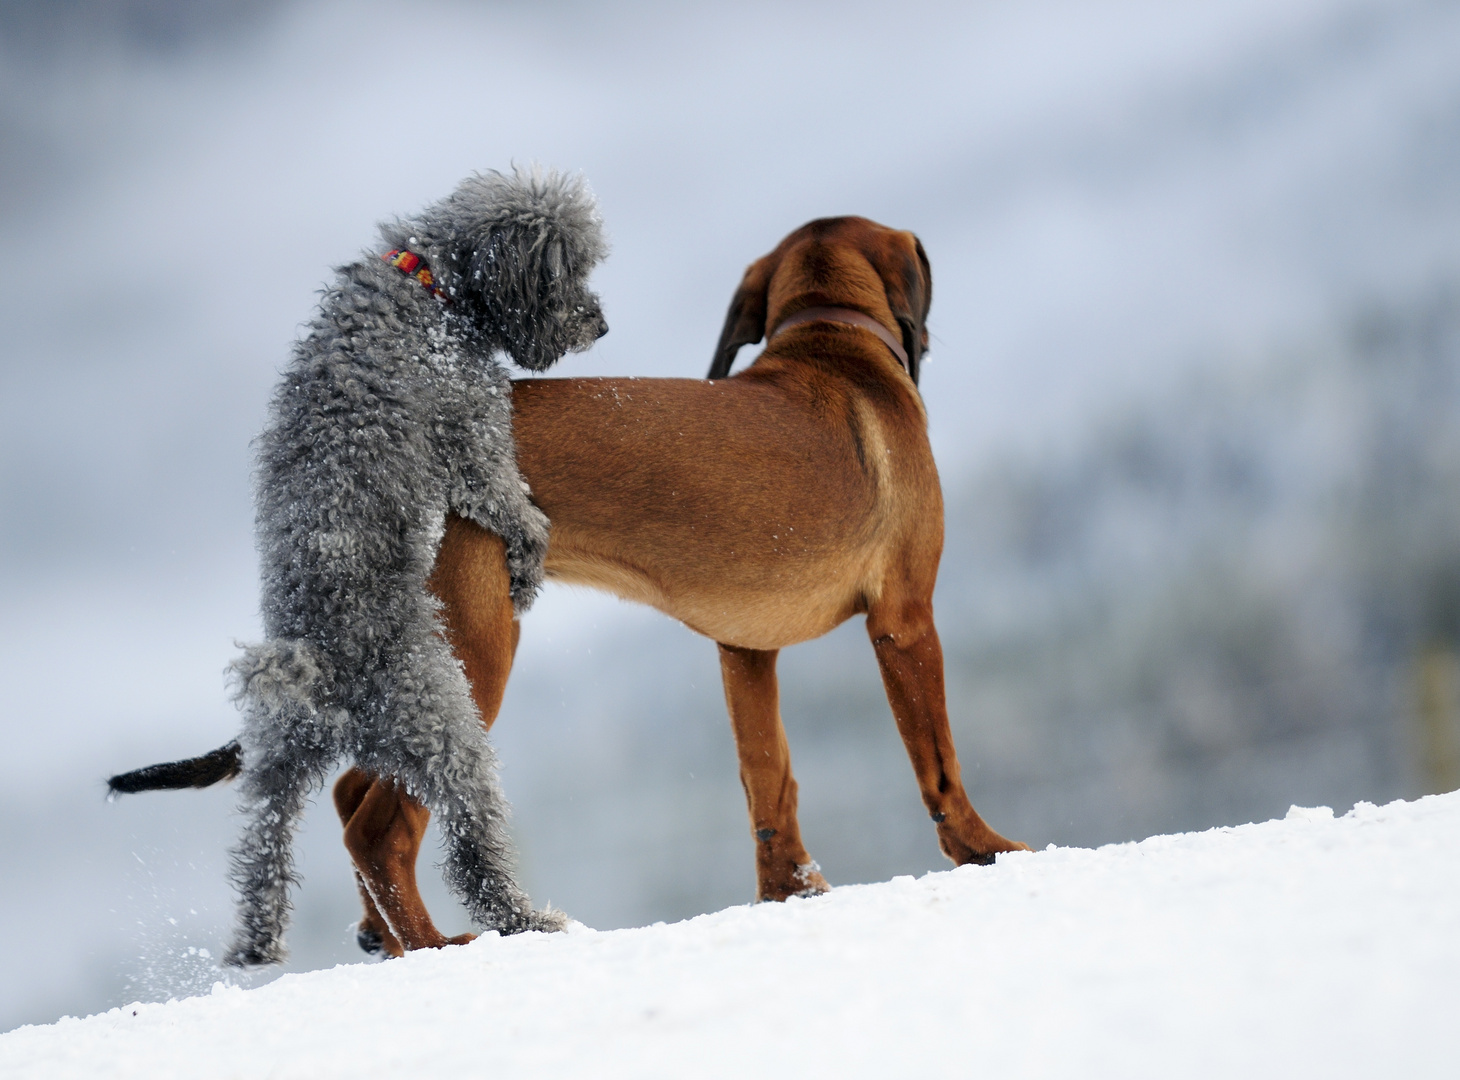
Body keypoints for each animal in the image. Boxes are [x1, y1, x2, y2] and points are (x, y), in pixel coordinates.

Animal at [202, 170, 601, 969]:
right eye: (569, 272)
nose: (599, 322)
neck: (428, 285)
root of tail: (323, 668)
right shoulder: (470, 425)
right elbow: (505, 500)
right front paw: (529, 557)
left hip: (276, 758)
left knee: (263, 850)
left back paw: (256, 942)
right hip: (447, 727)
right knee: (474, 851)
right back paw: (525, 920)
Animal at [334, 214, 1027, 957]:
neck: (831, 340)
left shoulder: (746, 651)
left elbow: (769, 778)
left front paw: (791, 888)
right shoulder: (904, 620)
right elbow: (939, 761)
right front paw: (983, 848)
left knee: (349, 793)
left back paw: (382, 937)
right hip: (477, 650)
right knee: (378, 829)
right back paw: (436, 946)